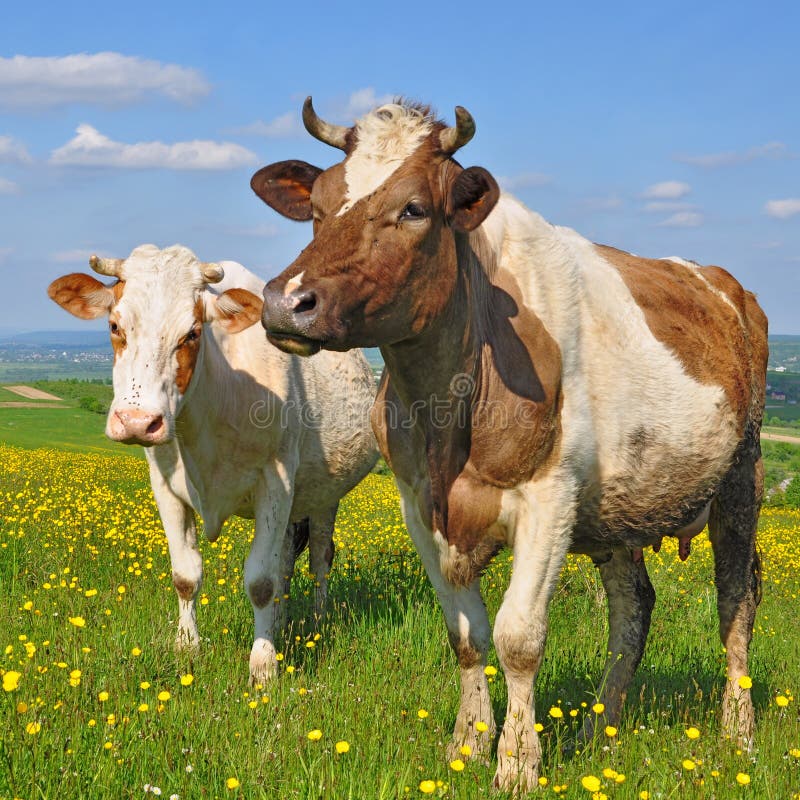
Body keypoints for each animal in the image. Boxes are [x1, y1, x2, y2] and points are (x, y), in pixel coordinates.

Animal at [47, 244, 378, 680]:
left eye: (191, 333)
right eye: (115, 325)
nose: (137, 421)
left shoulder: (275, 483)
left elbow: (260, 582)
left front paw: (263, 666)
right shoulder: (165, 486)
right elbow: (186, 575)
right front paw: (187, 647)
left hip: (325, 495)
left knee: (320, 558)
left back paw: (319, 622)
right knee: (286, 562)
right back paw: (282, 621)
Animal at [250, 101, 768, 792]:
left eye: (414, 208)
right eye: (319, 204)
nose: (286, 303)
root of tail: (722, 281)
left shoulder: (550, 496)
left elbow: (519, 636)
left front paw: (518, 765)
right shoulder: (418, 503)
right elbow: (465, 633)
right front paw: (468, 744)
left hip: (742, 475)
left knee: (736, 598)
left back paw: (738, 734)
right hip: (618, 514)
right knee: (633, 609)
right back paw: (598, 730)